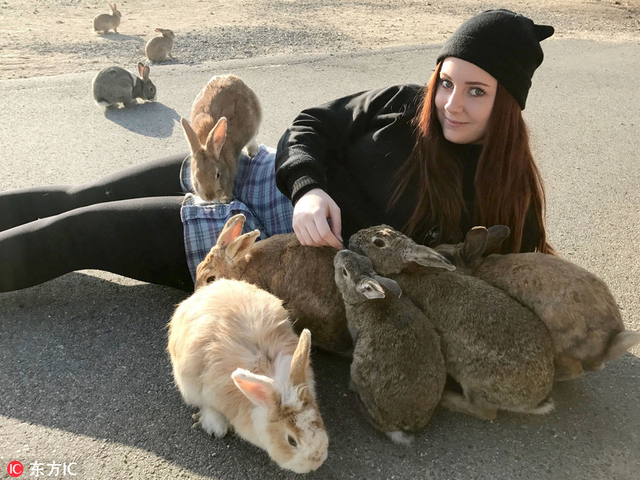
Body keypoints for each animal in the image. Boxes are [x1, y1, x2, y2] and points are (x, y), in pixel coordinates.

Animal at [181, 74, 262, 203]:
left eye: (217, 174)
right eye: (197, 177)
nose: (210, 197)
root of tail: (233, 77)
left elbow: (230, 184)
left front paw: (225, 199)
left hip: (255, 123)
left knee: (252, 140)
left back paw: (253, 151)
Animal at [334, 249, 446, 445]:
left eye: (345, 272)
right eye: (364, 259)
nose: (341, 252)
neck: (363, 300)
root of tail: (401, 427)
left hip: (359, 370)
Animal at [349, 225, 556, 421]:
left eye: (379, 243)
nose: (351, 239)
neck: (406, 270)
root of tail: (536, 400)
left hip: (476, 382)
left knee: (485, 412)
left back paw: (448, 398)